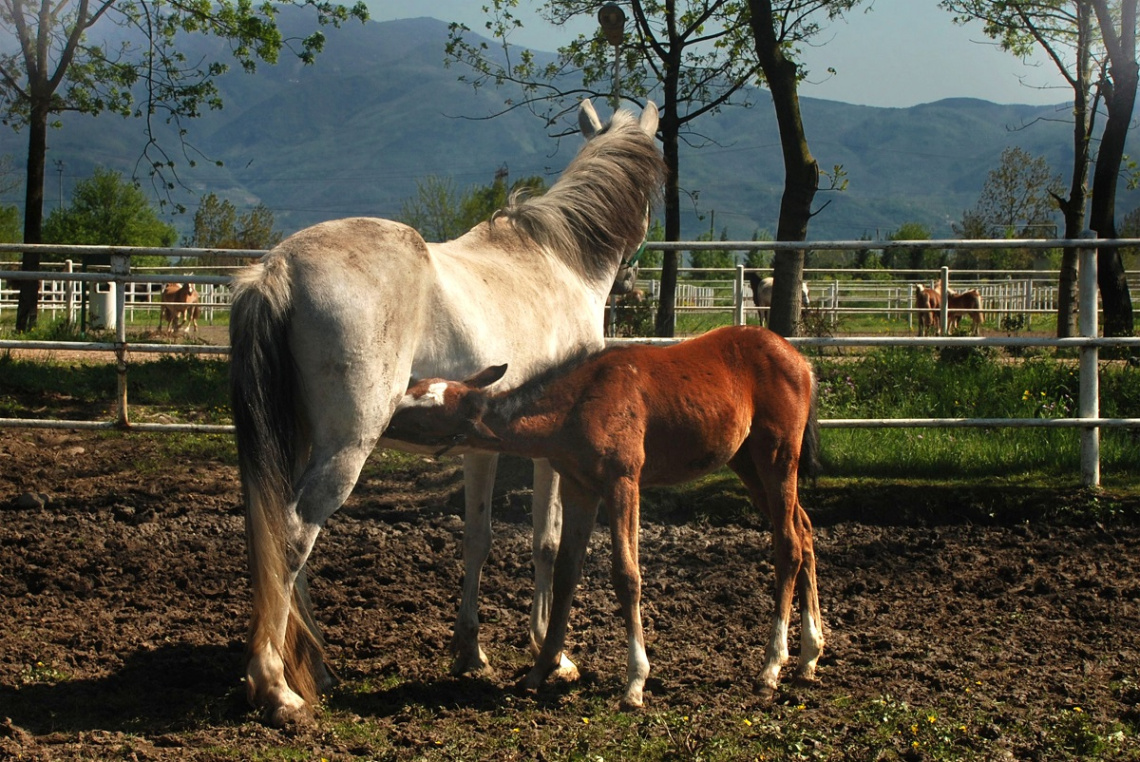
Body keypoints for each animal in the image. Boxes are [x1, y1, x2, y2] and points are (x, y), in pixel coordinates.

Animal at [225, 100, 665, 725]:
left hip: (303, 443)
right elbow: (546, 542)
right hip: (346, 448)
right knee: (291, 535)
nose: (632, 280)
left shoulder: (482, 447)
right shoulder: (554, 452)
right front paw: (551, 654)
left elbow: (478, 538)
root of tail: (277, 270)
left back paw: (317, 670)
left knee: (283, 541)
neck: (558, 262)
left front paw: (469, 651)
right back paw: (276, 687)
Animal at [387, 326, 825, 707]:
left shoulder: (622, 482)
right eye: (412, 393)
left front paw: (635, 682)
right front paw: (541, 669)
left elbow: (626, 575)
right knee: (804, 530)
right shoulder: (578, 487)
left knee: (788, 544)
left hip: (777, 456)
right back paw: (809, 656)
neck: (577, 404)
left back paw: (771, 667)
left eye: (422, 415)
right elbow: (566, 572)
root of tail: (800, 360)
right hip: (746, 461)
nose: (383, 417)